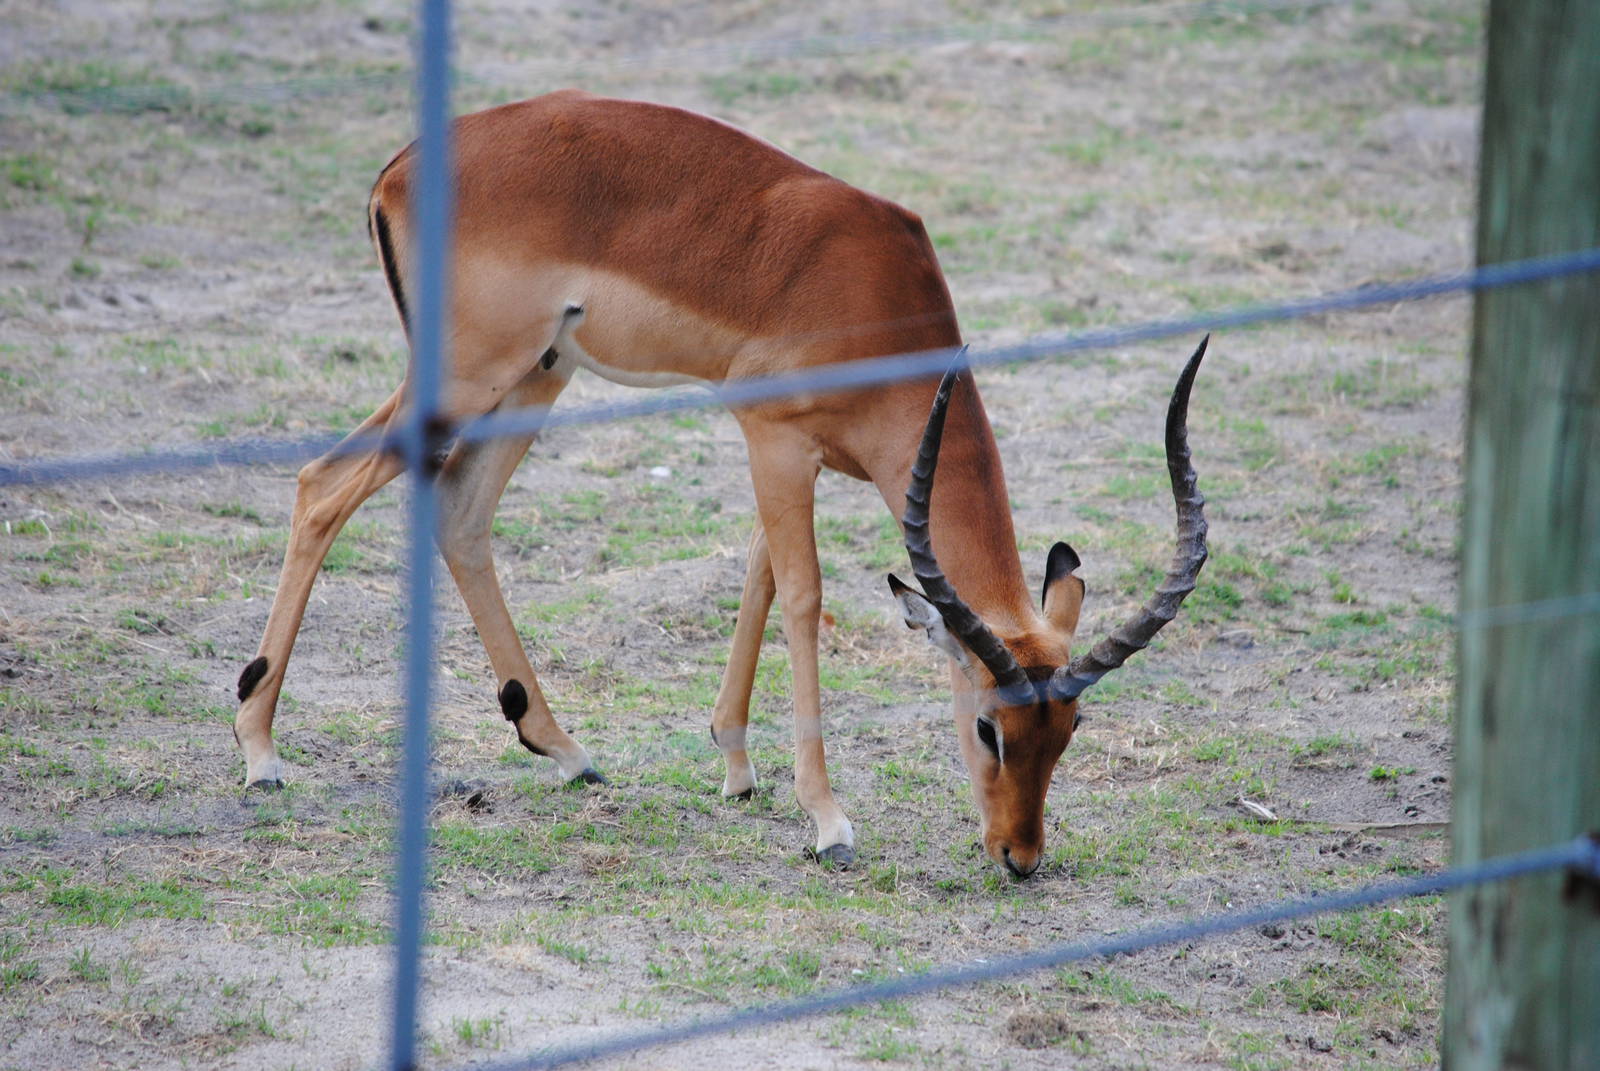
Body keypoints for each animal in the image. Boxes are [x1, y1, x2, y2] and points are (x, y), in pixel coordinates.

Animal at [232, 90, 1208, 878]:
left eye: (1070, 729)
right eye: (987, 726)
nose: (1019, 855)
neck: (877, 299)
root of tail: (400, 167)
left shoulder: (799, 456)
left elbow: (758, 574)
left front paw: (736, 767)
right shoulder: (772, 438)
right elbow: (805, 596)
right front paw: (828, 820)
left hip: (539, 375)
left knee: (461, 512)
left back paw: (565, 747)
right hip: (467, 380)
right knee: (322, 484)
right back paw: (261, 750)